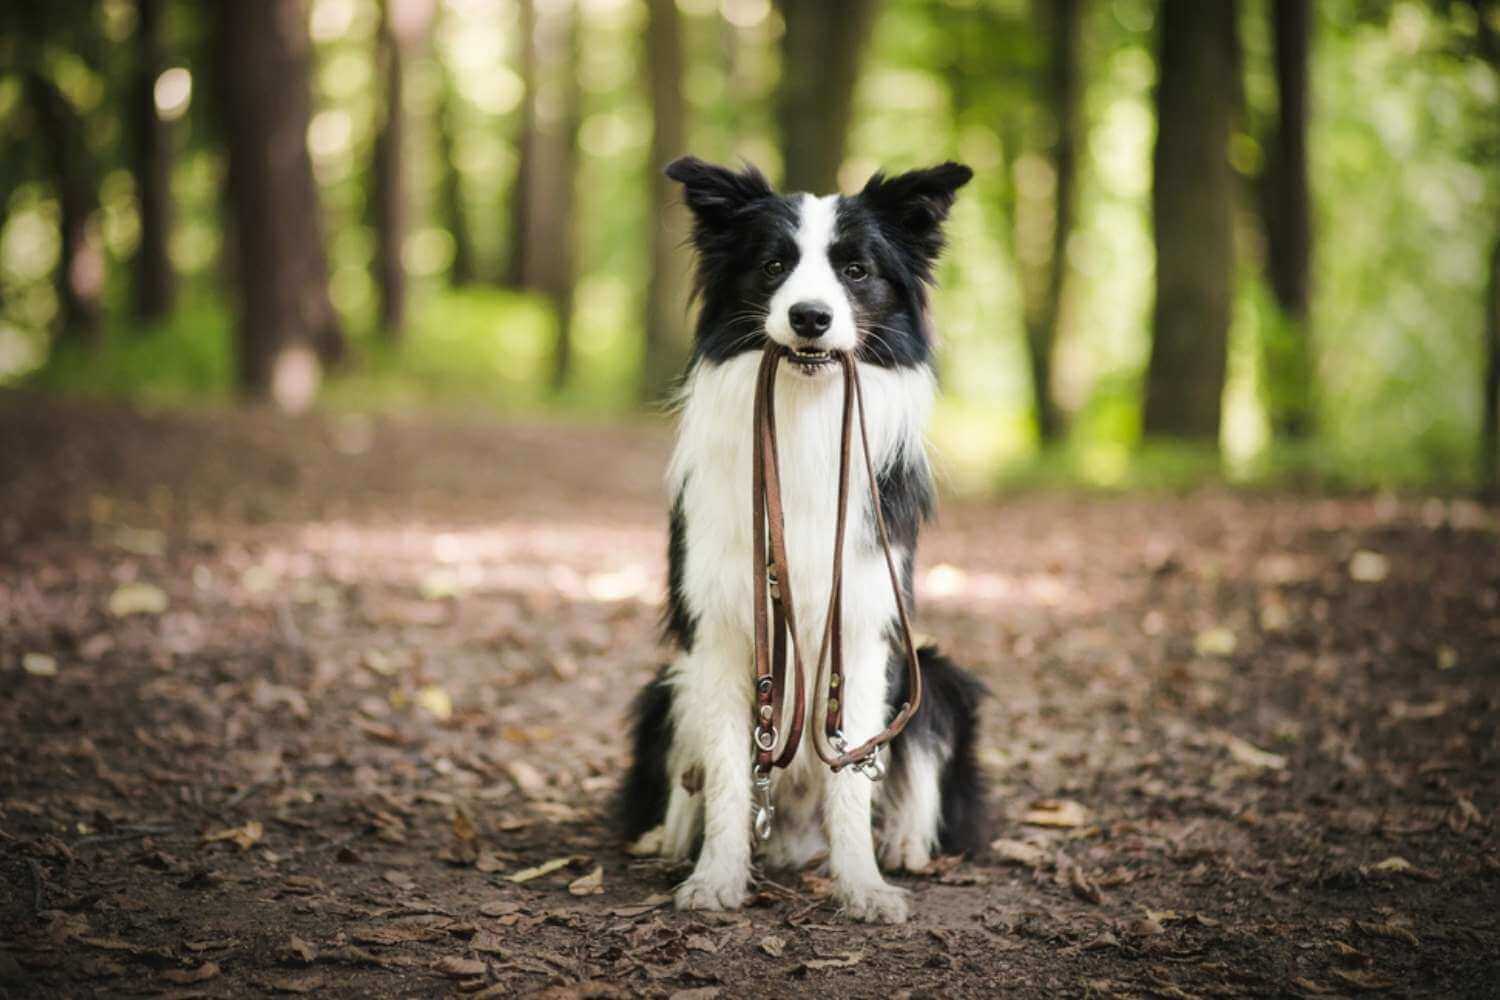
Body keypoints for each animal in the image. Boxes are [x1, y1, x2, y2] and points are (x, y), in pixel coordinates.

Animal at [618, 158, 984, 929]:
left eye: (855, 269)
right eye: (773, 265)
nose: (810, 316)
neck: (803, 416)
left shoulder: (866, 625)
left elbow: (852, 774)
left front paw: (864, 885)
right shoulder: (723, 631)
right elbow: (731, 772)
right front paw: (716, 878)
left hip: (935, 674)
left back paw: (905, 845)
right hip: (666, 685)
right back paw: (670, 837)